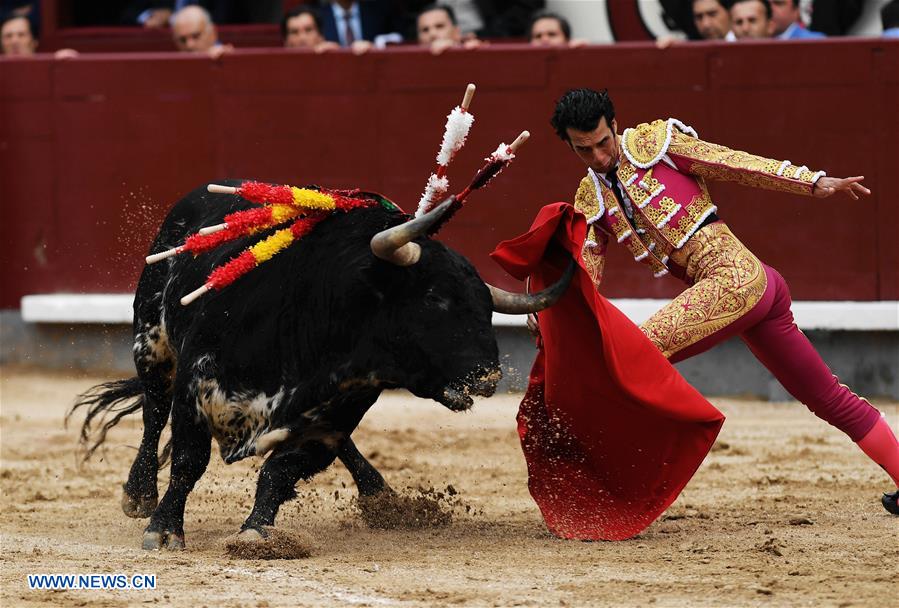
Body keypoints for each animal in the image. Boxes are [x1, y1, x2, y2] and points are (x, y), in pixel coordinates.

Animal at [70, 182, 568, 552]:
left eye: (486, 307)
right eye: (434, 298)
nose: (488, 375)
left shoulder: (328, 421)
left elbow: (279, 473)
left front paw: (258, 532)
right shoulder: (195, 388)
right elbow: (189, 462)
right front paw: (163, 529)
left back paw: (383, 499)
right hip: (151, 341)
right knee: (154, 411)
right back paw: (138, 493)